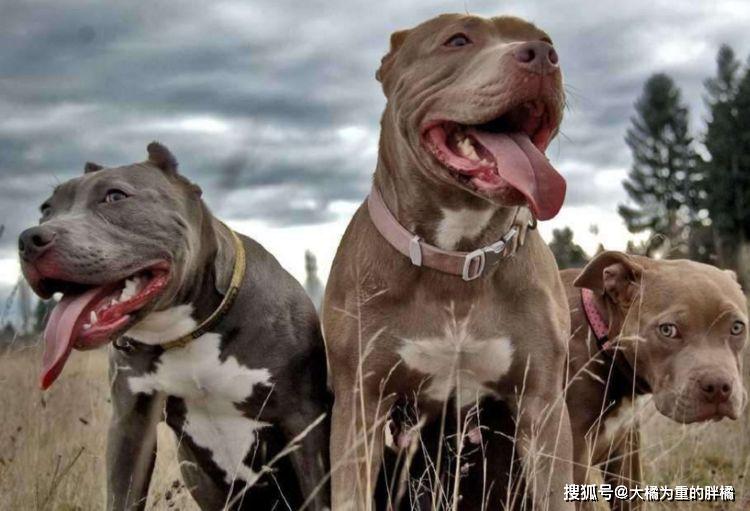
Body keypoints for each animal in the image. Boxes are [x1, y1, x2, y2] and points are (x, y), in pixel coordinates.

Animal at [19, 142, 330, 510]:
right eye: (46, 209)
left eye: (114, 196)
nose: (28, 239)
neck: (186, 333)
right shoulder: (130, 425)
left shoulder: (304, 420)